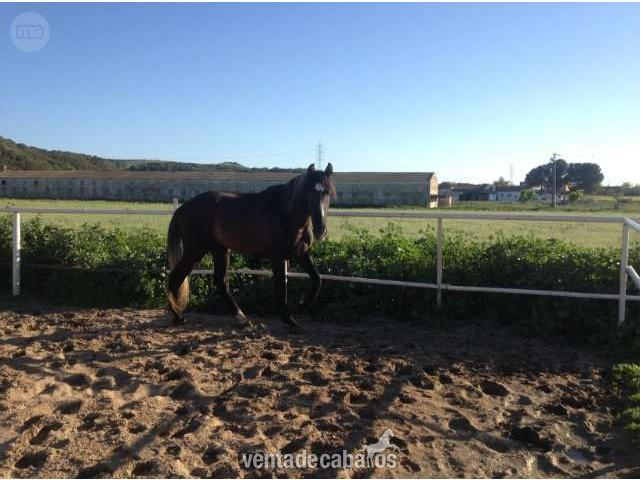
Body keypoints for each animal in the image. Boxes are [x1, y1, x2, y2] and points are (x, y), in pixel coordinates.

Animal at [166, 163, 335, 333]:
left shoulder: (301, 253)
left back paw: (241, 318)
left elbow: (317, 279)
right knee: (175, 278)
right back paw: (178, 317)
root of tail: (182, 209)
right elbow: (282, 289)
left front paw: (301, 305)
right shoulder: (277, 258)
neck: (285, 214)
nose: (320, 230)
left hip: (220, 250)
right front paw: (291, 321)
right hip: (195, 251)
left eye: (327, 192)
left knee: (220, 281)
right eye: (309, 192)